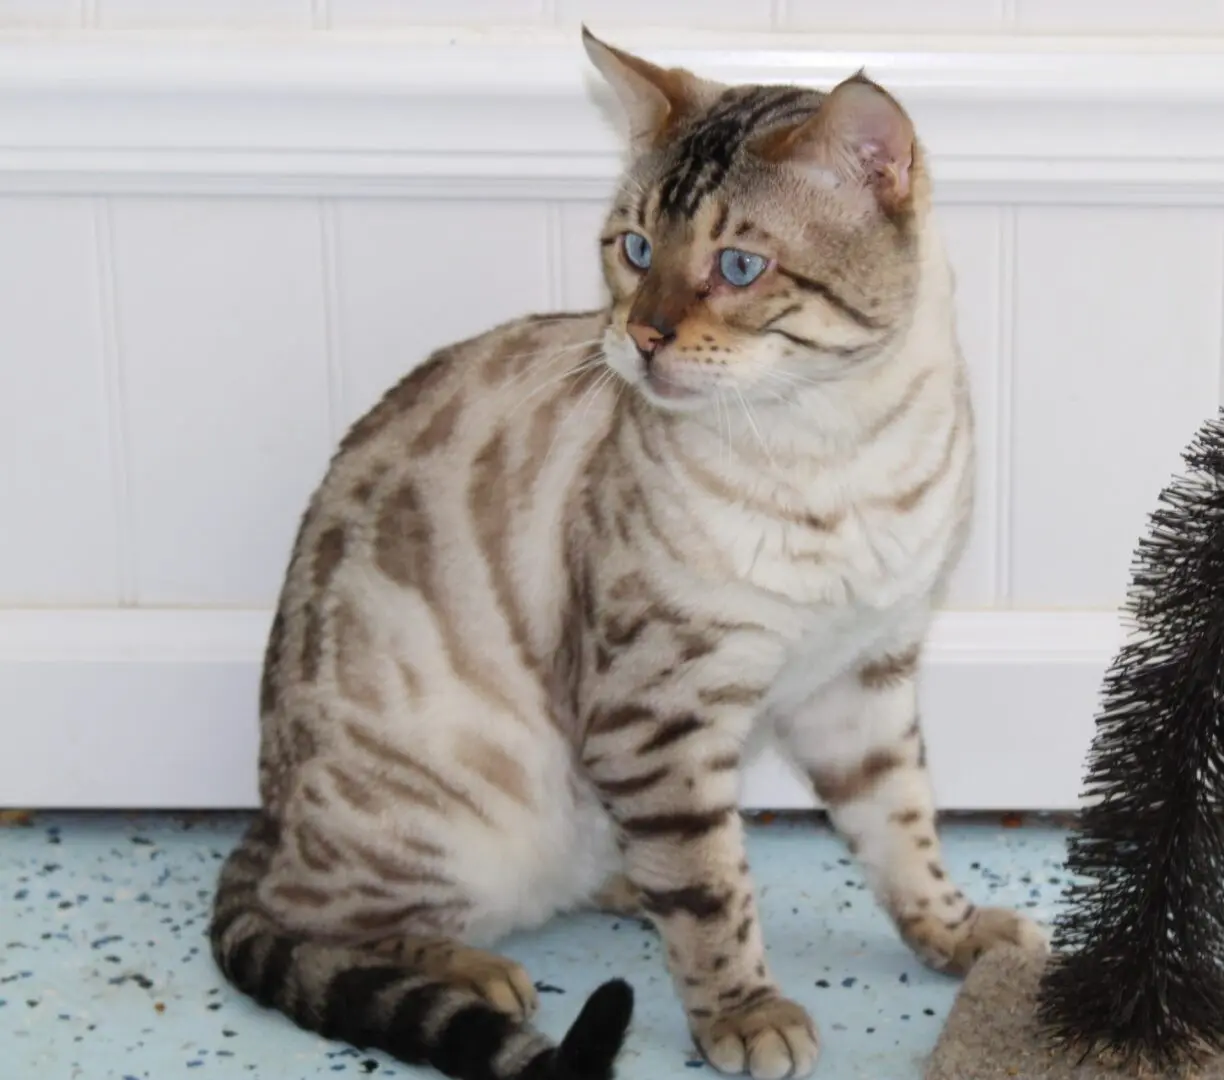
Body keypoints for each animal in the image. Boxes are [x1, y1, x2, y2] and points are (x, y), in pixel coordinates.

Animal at [208, 29, 1042, 1077]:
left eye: (738, 266)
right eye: (635, 248)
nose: (641, 335)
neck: (837, 449)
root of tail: (265, 814)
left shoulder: (863, 679)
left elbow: (902, 832)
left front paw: (960, 934)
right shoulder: (659, 713)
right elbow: (712, 894)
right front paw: (744, 1014)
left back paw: (615, 886)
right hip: (458, 815)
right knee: (322, 923)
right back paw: (484, 968)